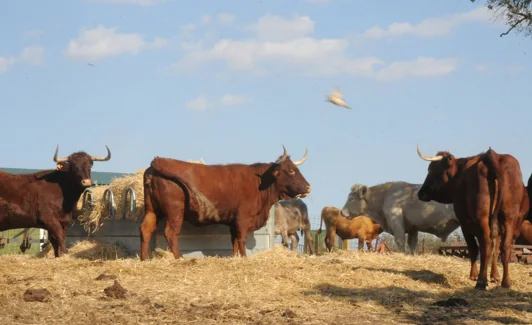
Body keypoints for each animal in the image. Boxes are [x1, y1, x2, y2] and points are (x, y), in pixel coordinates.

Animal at [139, 146, 312, 260]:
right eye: (291, 170)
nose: (308, 187)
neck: (259, 182)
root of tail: (158, 161)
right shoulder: (242, 218)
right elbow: (241, 239)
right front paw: (244, 258)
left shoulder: (233, 221)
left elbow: (234, 240)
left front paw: (235, 257)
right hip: (175, 211)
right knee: (171, 233)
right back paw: (179, 258)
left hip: (152, 209)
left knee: (146, 229)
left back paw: (144, 258)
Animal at [418, 144, 528, 288]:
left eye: (431, 170)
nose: (420, 193)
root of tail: (493, 155)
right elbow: (496, 249)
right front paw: (495, 276)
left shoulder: (464, 222)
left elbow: (473, 248)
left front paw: (474, 275)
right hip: (509, 218)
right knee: (505, 247)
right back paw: (506, 282)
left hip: (482, 219)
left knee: (485, 246)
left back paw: (481, 281)